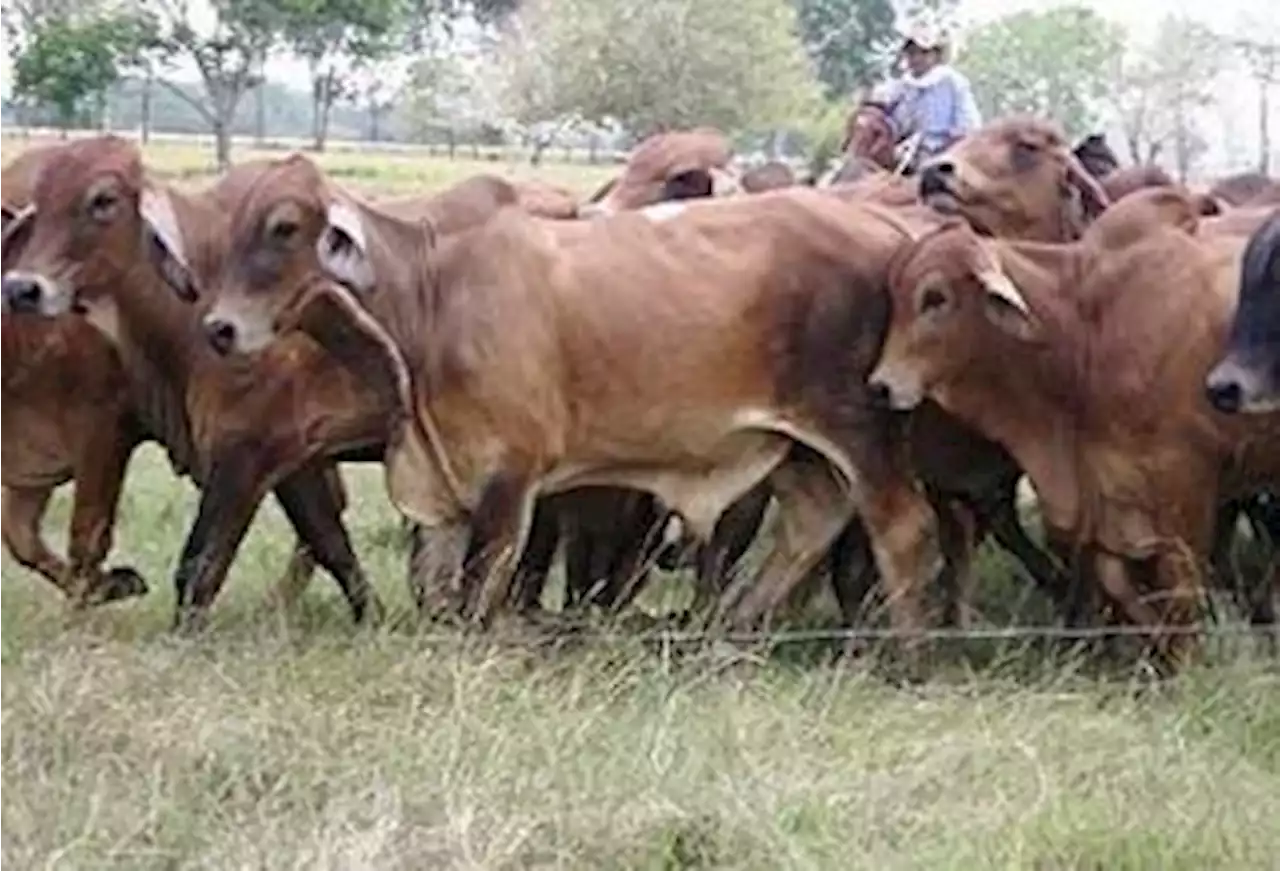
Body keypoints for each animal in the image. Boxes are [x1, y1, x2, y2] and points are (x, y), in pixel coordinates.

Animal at [865, 187, 1280, 666]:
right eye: (893, 295)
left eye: (936, 297)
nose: (881, 386)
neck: (1087, 333)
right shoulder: (1111, 494)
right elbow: (1117, 580)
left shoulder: (1187, 482)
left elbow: (1181, 588)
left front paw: (1185, 662)